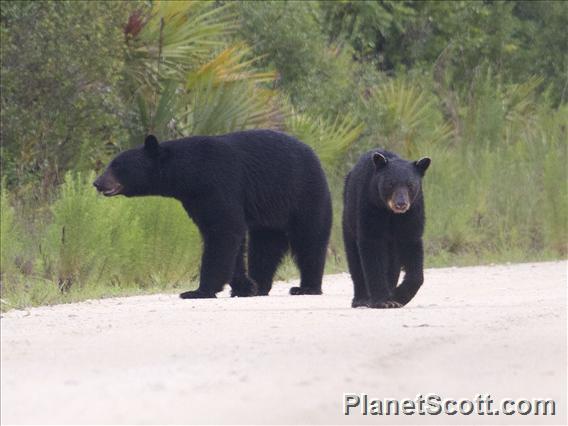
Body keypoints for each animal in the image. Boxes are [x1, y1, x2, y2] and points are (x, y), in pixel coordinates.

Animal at [93, 130, 332, 300]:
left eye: (117, 165)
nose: (97, 182)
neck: (189, 173)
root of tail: (314, 154)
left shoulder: (218, 183)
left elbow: (224, 231)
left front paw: (198, 291)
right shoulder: (197, 199)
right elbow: (225, 234)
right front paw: (244, 287)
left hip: (304, 193)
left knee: (310, 238)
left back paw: (306, 288)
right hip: (270, 212)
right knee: (265, 247)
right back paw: (260, 286)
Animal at [342, 151, 430, 310]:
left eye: (410, 185)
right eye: (390, 184)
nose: (401, 203)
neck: (391, 213)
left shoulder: (413, 213)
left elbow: (412, 245)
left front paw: (397, 297)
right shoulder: (370, 205)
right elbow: (372, 248)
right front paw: (383, 300)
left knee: (393, 263)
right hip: (349, 220)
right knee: (354, 260)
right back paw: (361, 299)